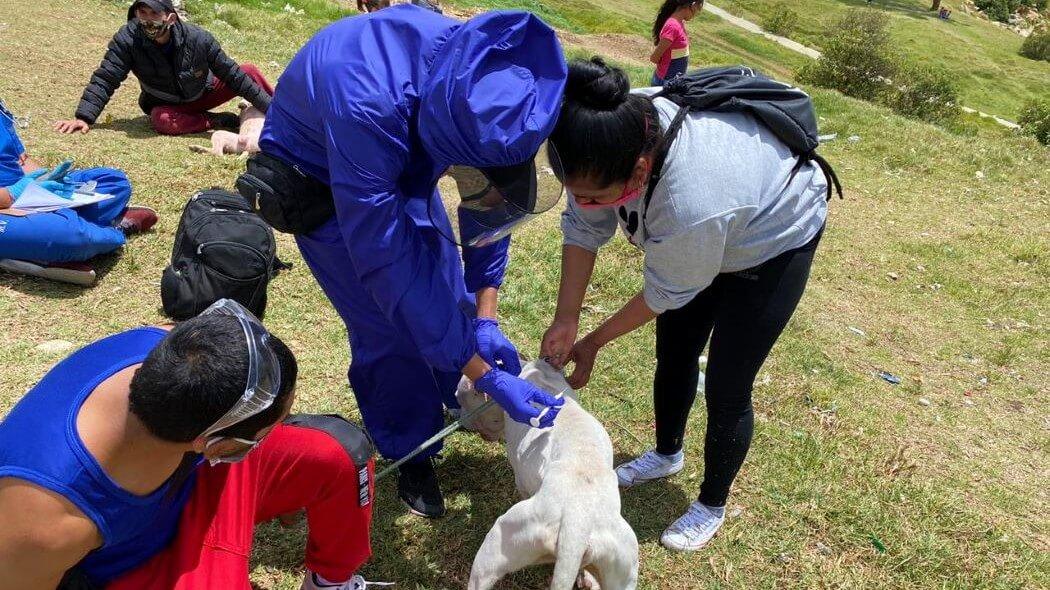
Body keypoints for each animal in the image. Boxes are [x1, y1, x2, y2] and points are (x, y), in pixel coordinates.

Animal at [459, 359, 638, 587]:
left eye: (461, 397)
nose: (460, 420)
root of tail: (577, 521)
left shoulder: (521, 479)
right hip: (623, 561)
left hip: (498, 545)